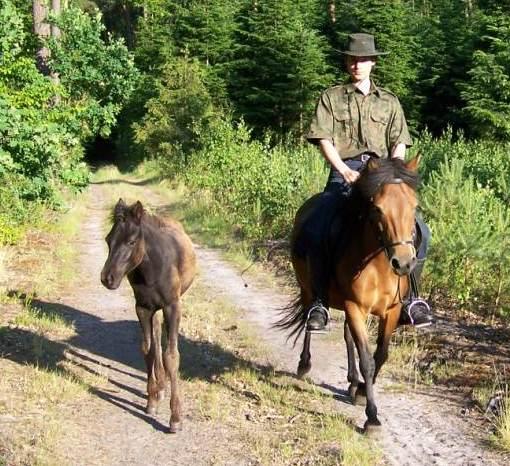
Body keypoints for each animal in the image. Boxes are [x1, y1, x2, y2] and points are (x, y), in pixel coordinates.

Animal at [100, 198, 196, 434]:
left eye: (131, 241)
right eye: (108, 239)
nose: (108, 278)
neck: (152, 269)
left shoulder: (173, 307)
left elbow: (172, 356)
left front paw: (175, 418)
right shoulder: (142, 308)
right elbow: (148, 349)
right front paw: (152, 399)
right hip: (153, 309)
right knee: (156, 337)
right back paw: (160, 386)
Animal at [278, 157, 418, 430]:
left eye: (414, 206)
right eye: (378, 209)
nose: (404, 263)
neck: (376, 264)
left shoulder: (392, 311)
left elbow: (380, 354)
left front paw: (362, 390)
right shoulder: (355, 307)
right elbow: (367, 360)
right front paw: (372, 417)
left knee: (347, 337)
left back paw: (353, 382)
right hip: (308, 290)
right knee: (310, 322)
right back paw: (304, 364)